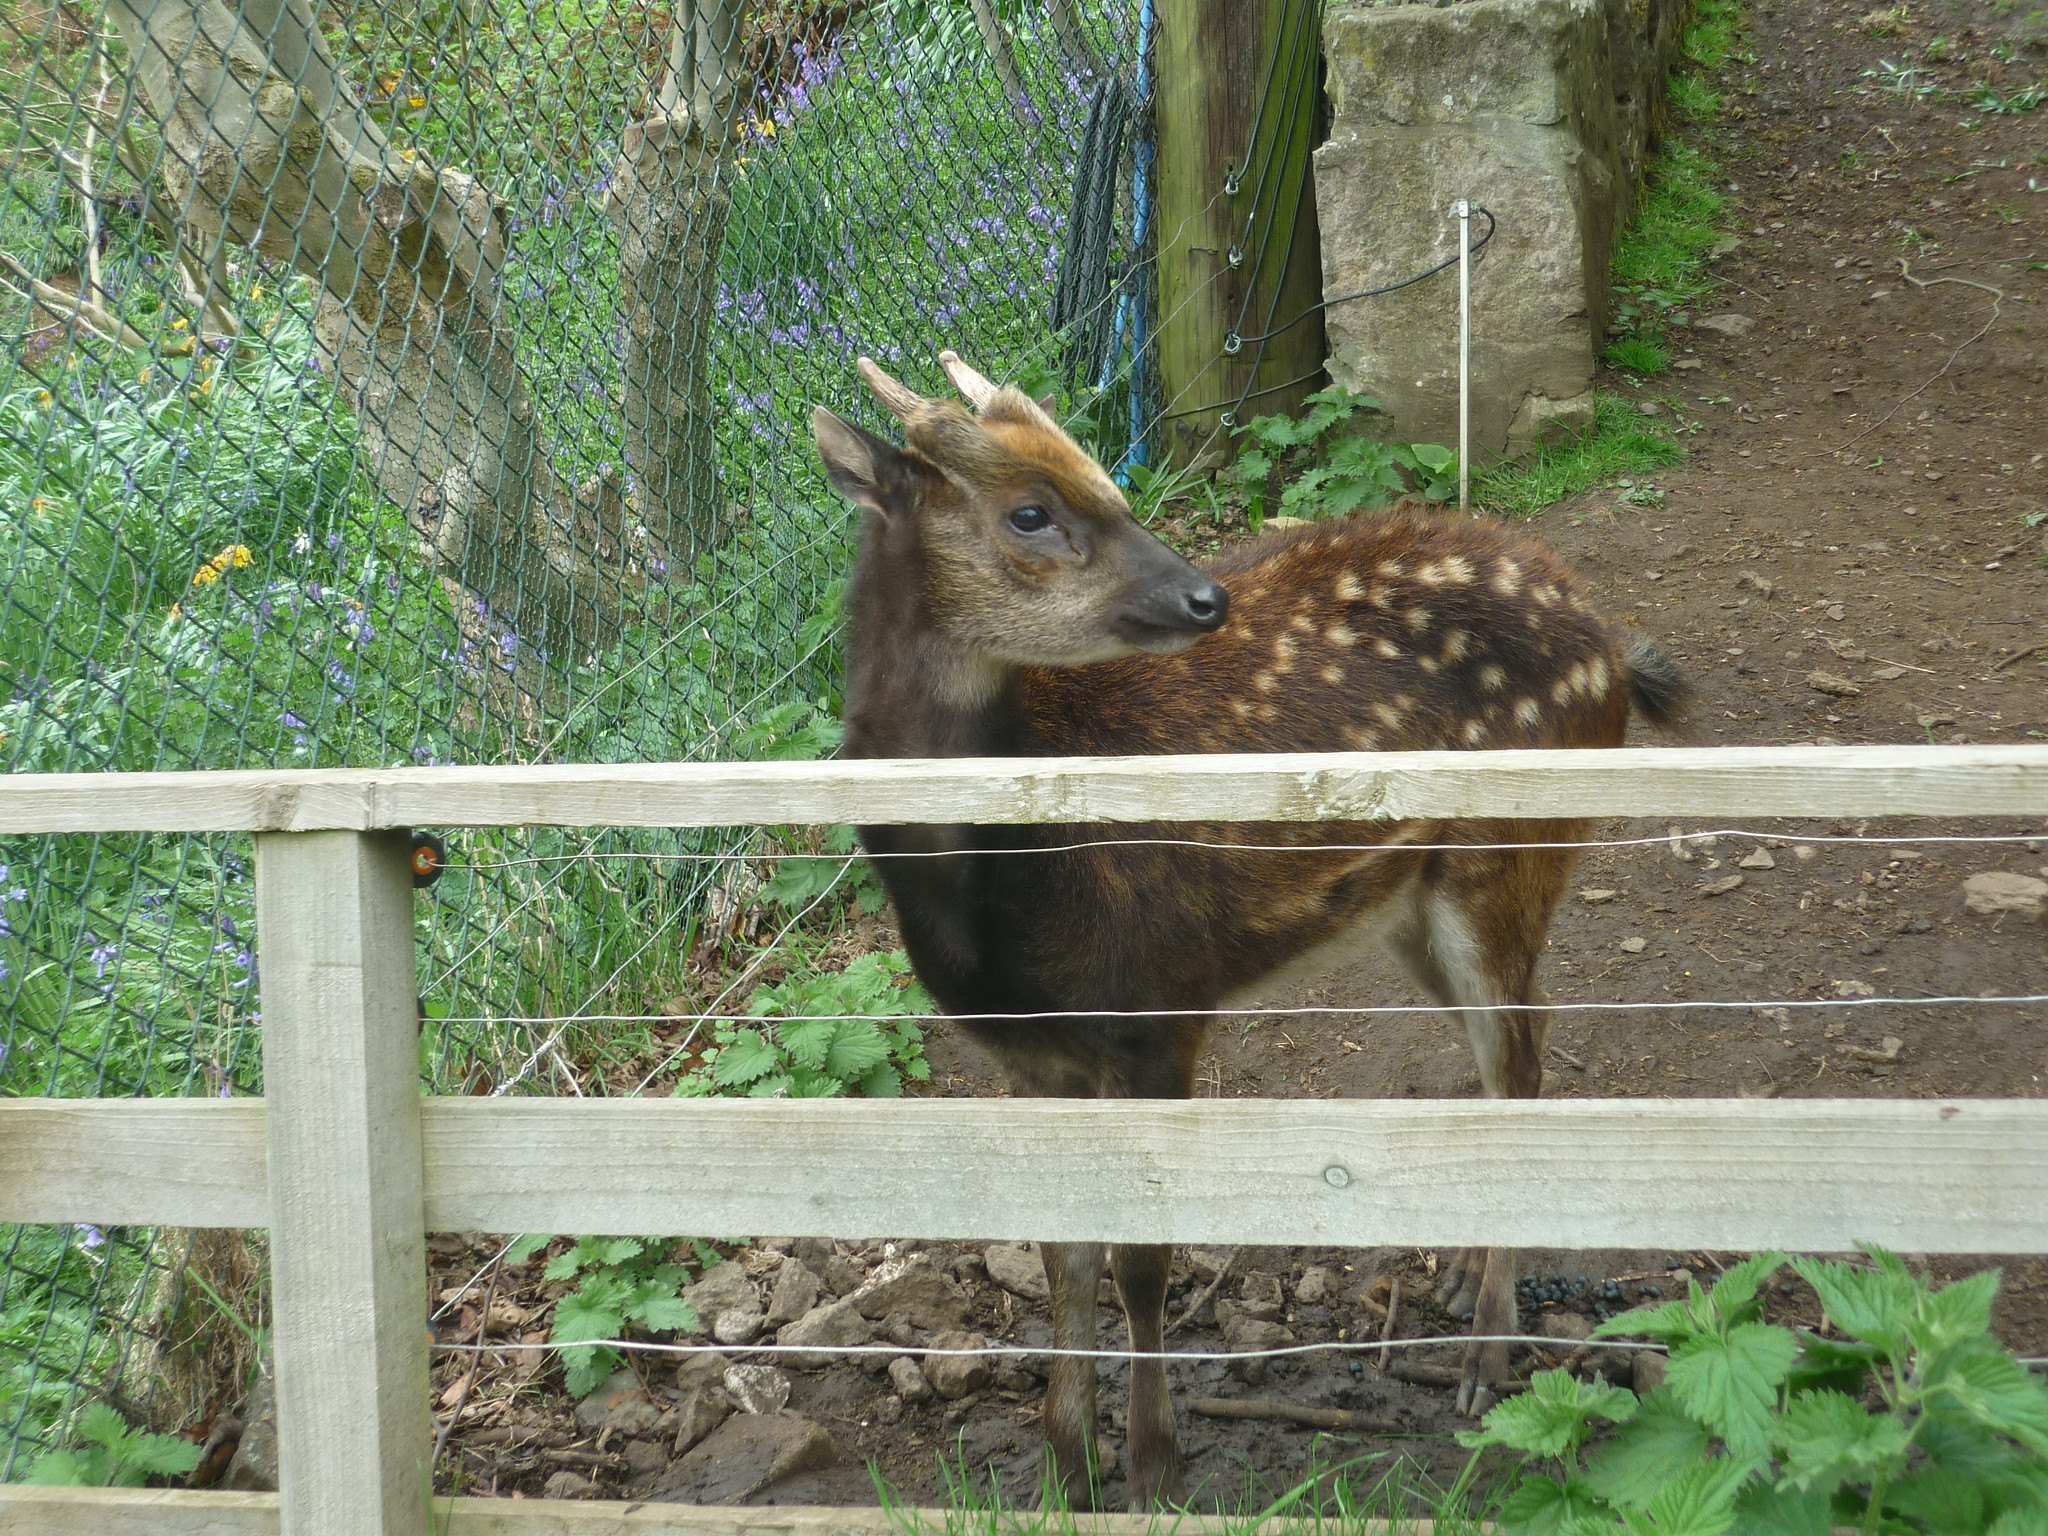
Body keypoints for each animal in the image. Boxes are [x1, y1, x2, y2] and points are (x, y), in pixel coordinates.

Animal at [810, 352, 1689, 1509]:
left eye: (1113, 486)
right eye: (1030, 511)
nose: (1205, 595)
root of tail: (1610, 643)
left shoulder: (1158, 1005)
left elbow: (1139, 1257)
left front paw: (1151, 1466)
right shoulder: (1030, 1055)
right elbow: (1060, 1250)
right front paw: (1064, 1470)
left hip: (1505, 852)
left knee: (1522, 1056)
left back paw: (1483, 1358)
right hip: (1412, 899)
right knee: (1514, 1041)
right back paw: (1459, 1278)